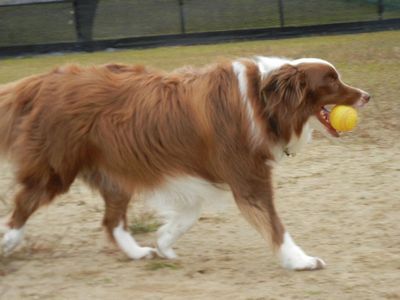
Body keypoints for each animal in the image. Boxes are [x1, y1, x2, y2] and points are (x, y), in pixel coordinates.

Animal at [0, 56, 368, 270]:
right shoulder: (247, 176)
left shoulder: (194, 173)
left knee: (112, 222)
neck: (264, 100)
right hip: (56, 169)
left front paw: (164, 242)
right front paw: (300, 260)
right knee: (25, 203)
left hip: (113, 172)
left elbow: (189, 214)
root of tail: (44, 80)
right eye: (332, 80)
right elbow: (274, 224)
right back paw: (8, 241)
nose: (367, 95)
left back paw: (138, 253)